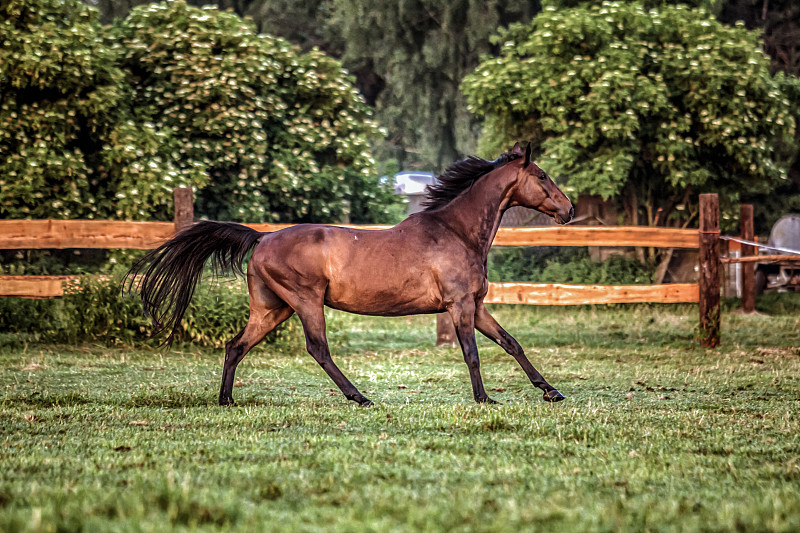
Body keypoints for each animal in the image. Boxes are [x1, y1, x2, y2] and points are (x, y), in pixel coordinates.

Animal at [123, 141, 576, 404]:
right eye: (541, 176)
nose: (569, 210)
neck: (456, 231)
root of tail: (262, 237)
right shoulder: (459, 305)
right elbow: (472, 352)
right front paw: (484, 399)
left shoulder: (477, 306)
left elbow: (512, 344)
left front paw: (551, 391)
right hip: (306, 301)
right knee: (318, 349)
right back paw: (359, 397)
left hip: (272, 309)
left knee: (236, 346)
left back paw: (227, 401)